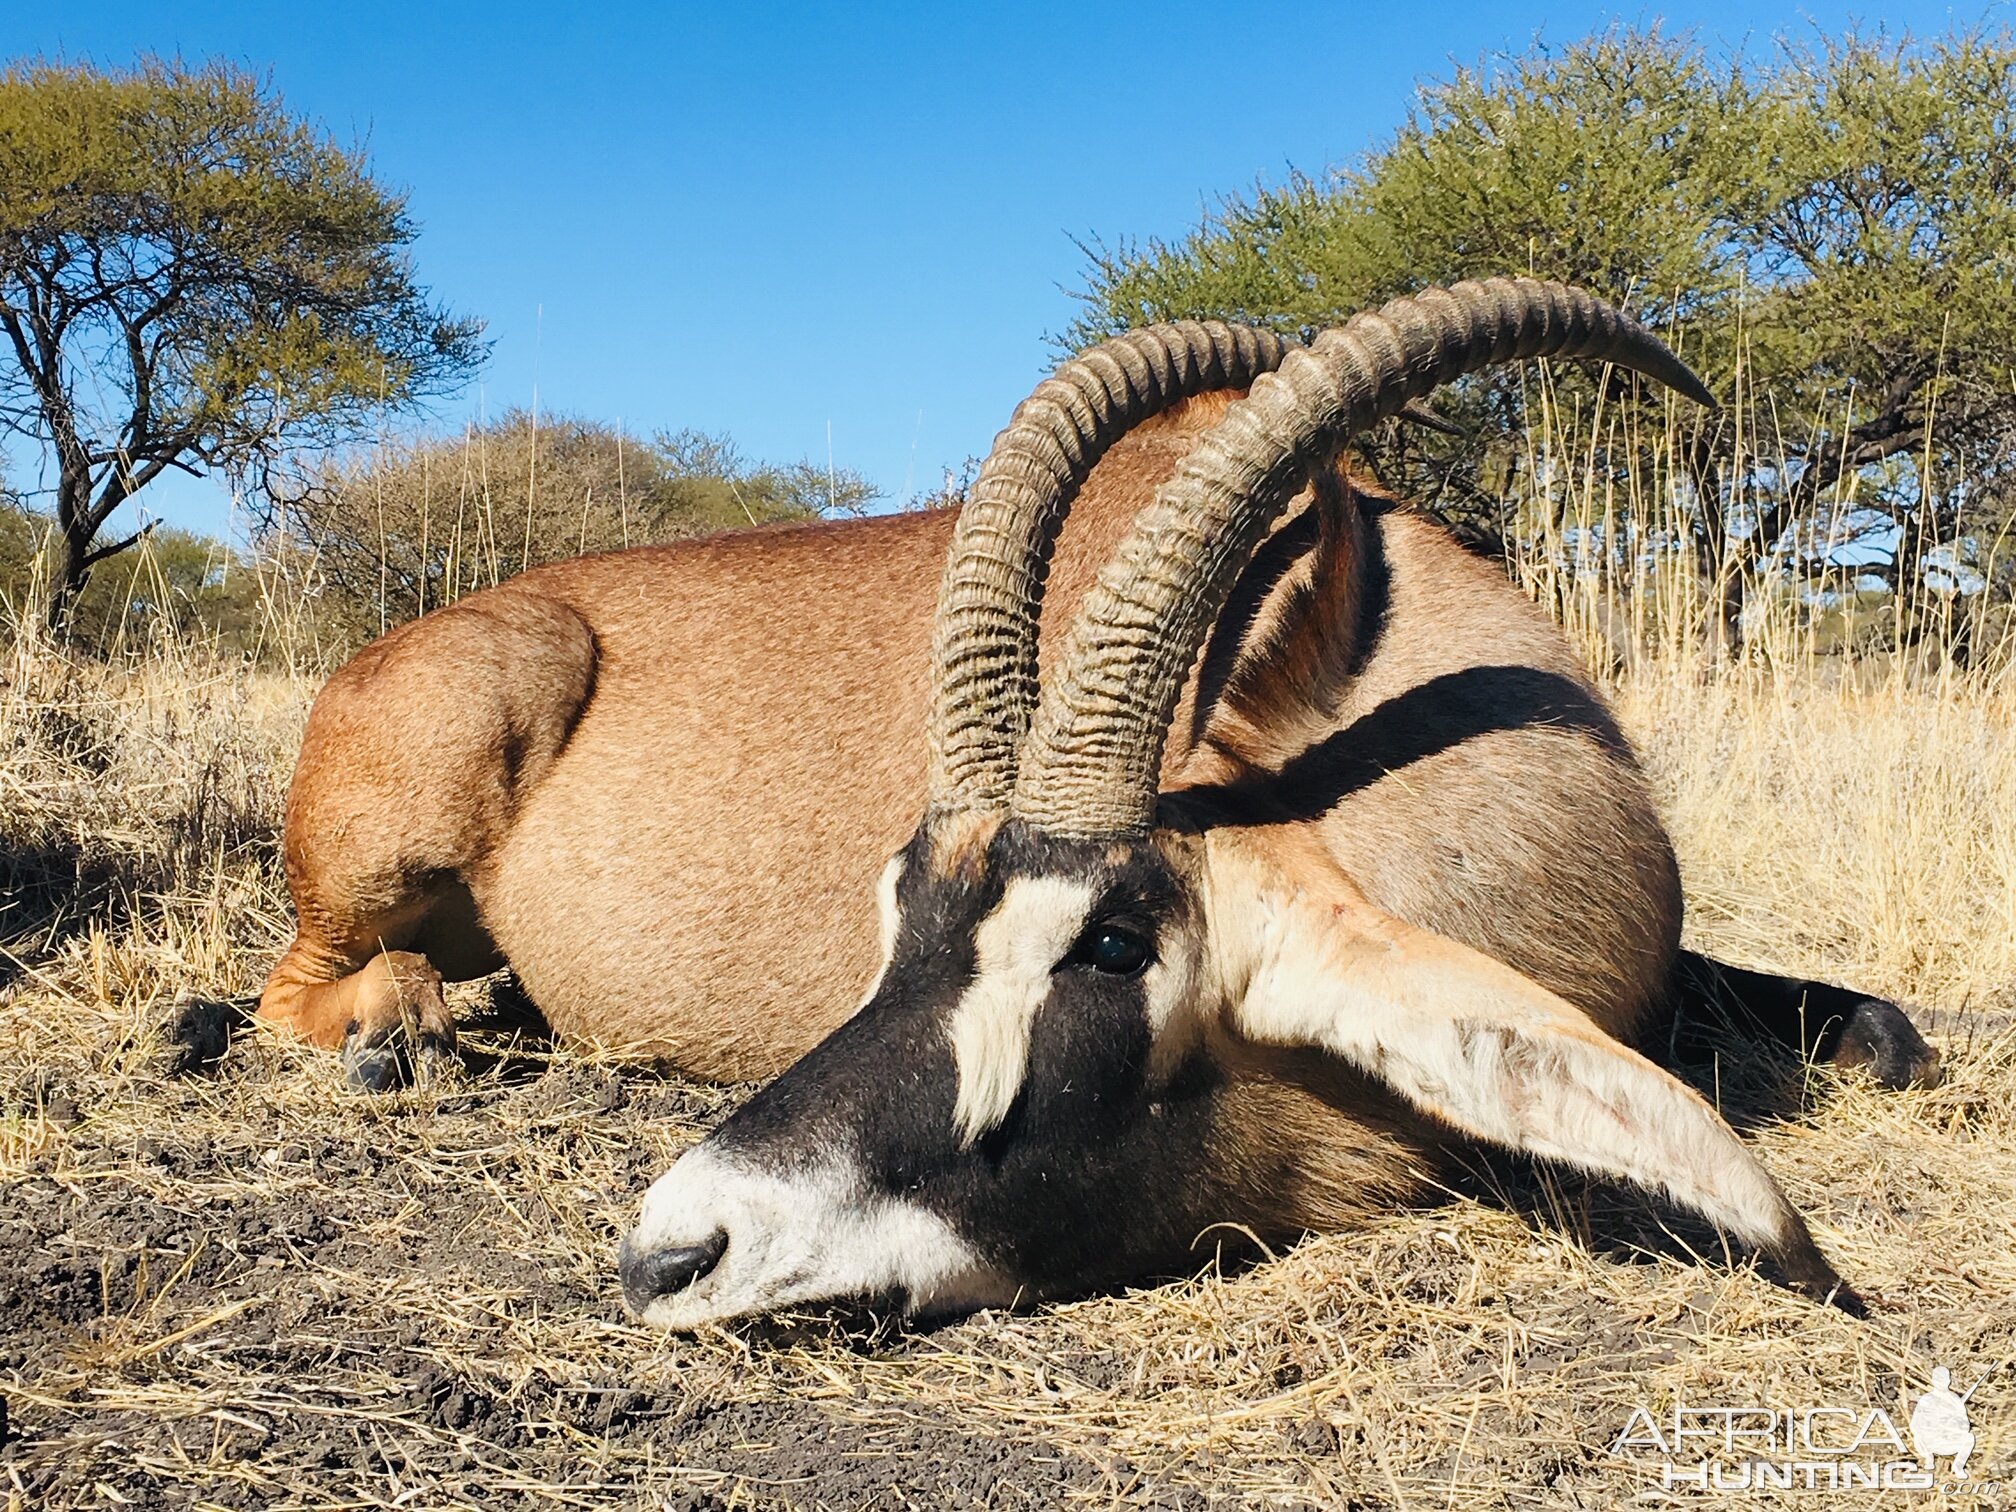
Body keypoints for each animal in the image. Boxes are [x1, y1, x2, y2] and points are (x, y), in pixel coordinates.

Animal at [256, 282, 1935, 1322]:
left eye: (1115, 945)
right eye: (896, 913)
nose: (677, 1251)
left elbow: (1887, 1034)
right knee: (299, 990)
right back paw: (396, 1033)